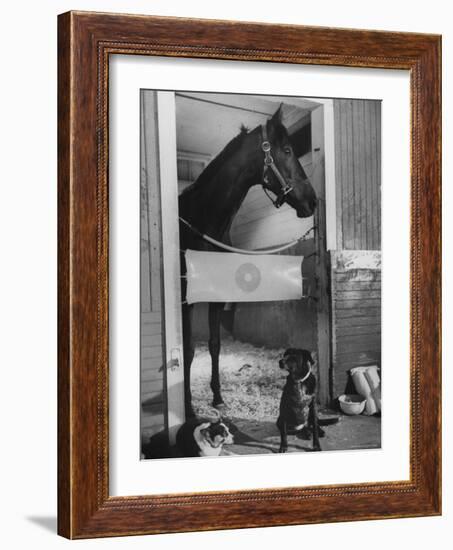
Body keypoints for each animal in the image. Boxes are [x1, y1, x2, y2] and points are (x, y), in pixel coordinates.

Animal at [178, 105, 316, 418]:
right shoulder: (186, 299)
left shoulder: (217, 296)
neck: (204, 222)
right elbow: (189, 350)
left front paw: (217, 397)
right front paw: (189, 407)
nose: (313, 201)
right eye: (287, 150)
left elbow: (214, 345)